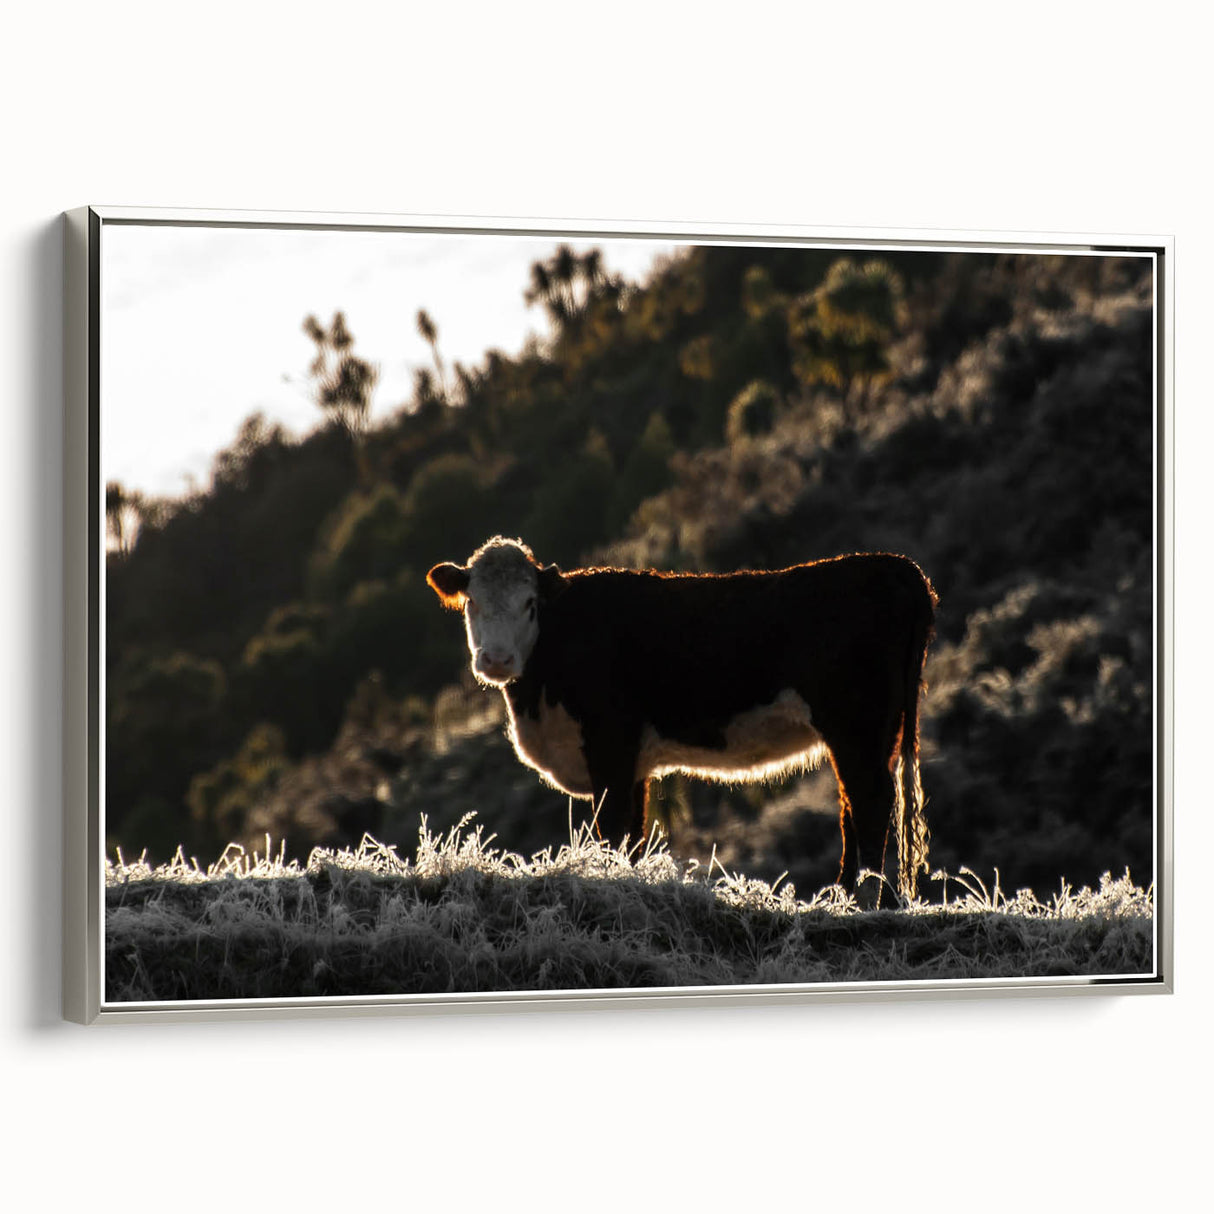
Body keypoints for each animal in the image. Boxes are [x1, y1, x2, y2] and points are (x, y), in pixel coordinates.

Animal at [427, 536, 936, 905]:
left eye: (530, 604)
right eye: (471, 602)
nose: (496, 659)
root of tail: (895, 566)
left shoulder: (610, 745)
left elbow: (612, 828)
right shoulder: (633, 763)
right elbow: (632, 834)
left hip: (856, 726)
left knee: (869, 803)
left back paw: (857, 900)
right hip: (872, 733)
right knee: (857, 805)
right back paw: (844, 896)